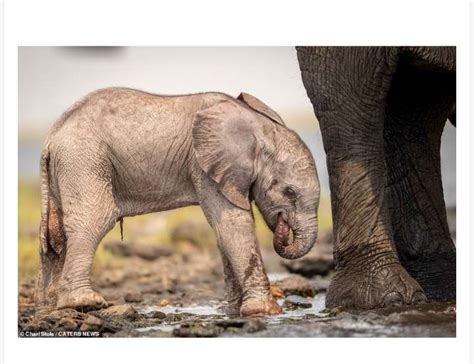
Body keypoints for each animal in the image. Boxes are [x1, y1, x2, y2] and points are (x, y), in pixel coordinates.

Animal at [35, 87, 320, 316]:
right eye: (290, 192)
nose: (282, 228)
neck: (260, 128)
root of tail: (51, 136)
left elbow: (223, 230)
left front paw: (233, 311)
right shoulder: (203, 165)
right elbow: (234, 223)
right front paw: (267, 311)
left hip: (67, 167)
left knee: (55, 236)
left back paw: (49, 308)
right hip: (84, 160)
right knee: (94, 220)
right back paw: (85, 303)